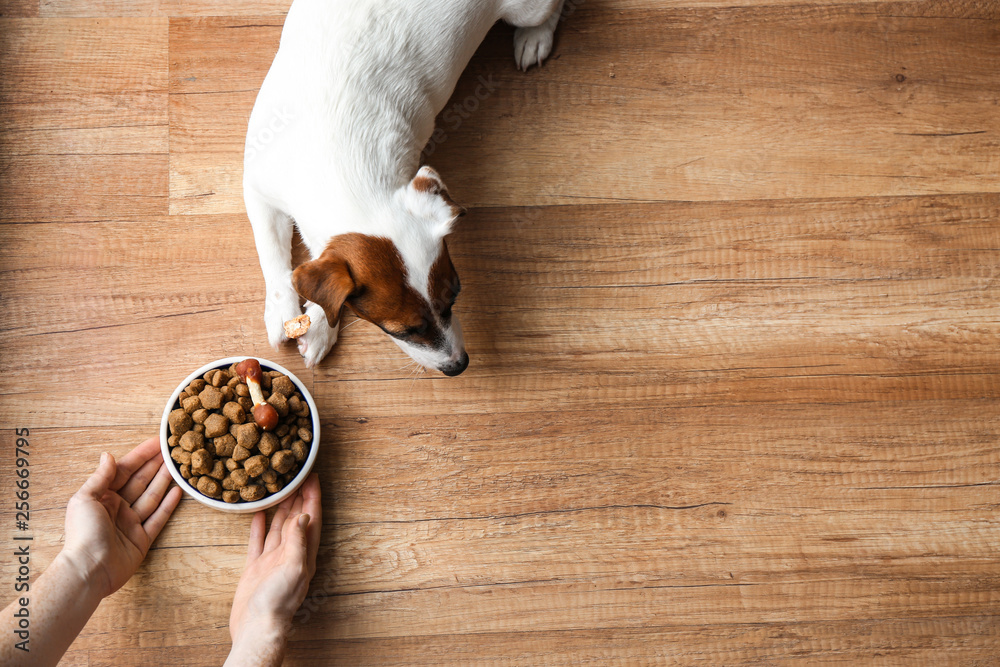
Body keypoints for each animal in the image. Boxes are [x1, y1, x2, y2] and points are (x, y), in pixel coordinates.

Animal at [244, 0, 564, 376]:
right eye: (402, 330)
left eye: (455, 296)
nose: (459, 366)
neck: (343, 164)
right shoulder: (257, 187)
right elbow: (272, 254)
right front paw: (284, 312)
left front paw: (322, 325)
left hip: (526, 10)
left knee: (550, 11)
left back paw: (535, 38)